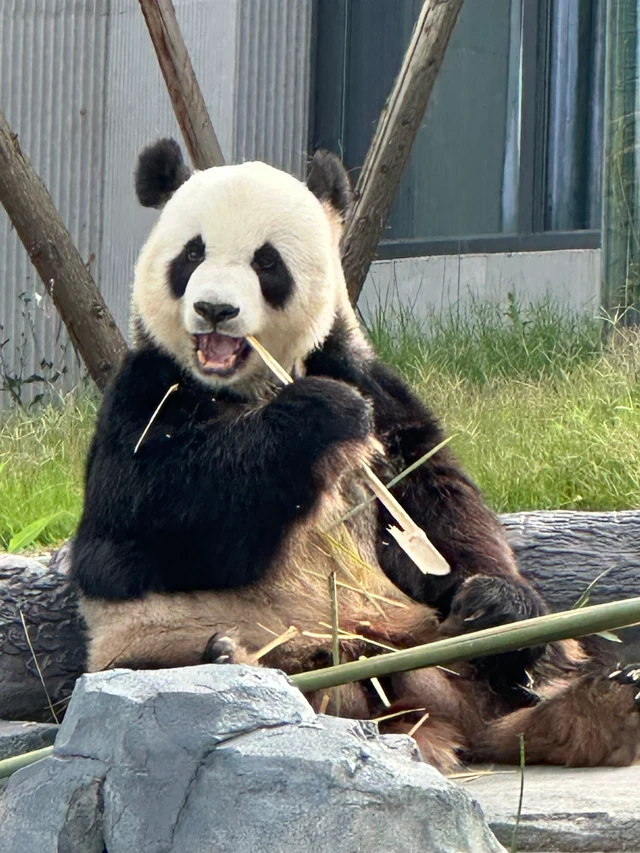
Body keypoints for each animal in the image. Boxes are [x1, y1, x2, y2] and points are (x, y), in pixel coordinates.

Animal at [71, 138, 640, 772]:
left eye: (266, 262)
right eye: (192, 254)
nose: (215, 309)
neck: (246, 386)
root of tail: (433, 717)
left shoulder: (371, 385)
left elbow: (438, 504)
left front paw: (495, 602)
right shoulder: (145, 391)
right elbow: (138, 528)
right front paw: (318, 415)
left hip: (438, 650)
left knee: (533, 669)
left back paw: (596, 697)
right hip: (160, 643)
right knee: (190, 671)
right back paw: (232, 656)